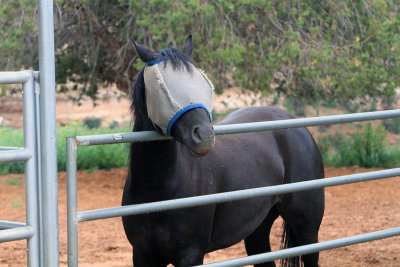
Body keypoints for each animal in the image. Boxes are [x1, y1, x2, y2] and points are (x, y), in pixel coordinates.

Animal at [122, 36, 324, 267]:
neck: (159, 189)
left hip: (307, 231)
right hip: (258, 229)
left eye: (202, 83)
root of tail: (293, 123)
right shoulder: (143, 254)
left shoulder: (190, 254)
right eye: (163, 88)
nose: (205, 136)